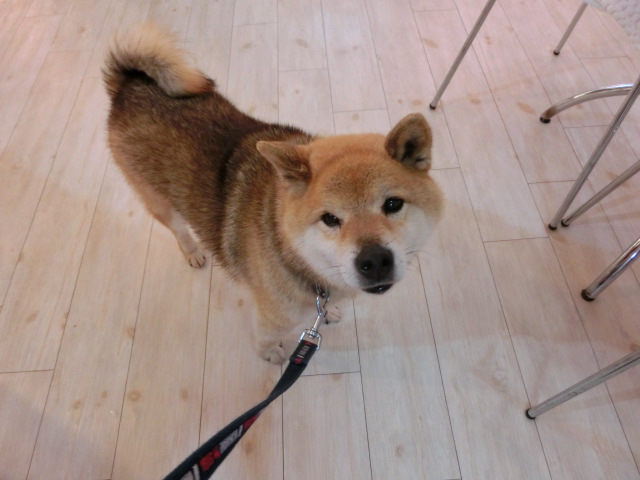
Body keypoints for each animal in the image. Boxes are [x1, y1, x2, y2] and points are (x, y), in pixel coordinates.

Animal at [103, 24, 443, 363]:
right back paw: (193, 252)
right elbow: (267, 339)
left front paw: (330, 311)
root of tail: (129, 85)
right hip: (159, 202)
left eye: (393, 204)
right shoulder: (271, 315)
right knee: (178, 230)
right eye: (330, 219)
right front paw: (272, 355)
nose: (374, 260)